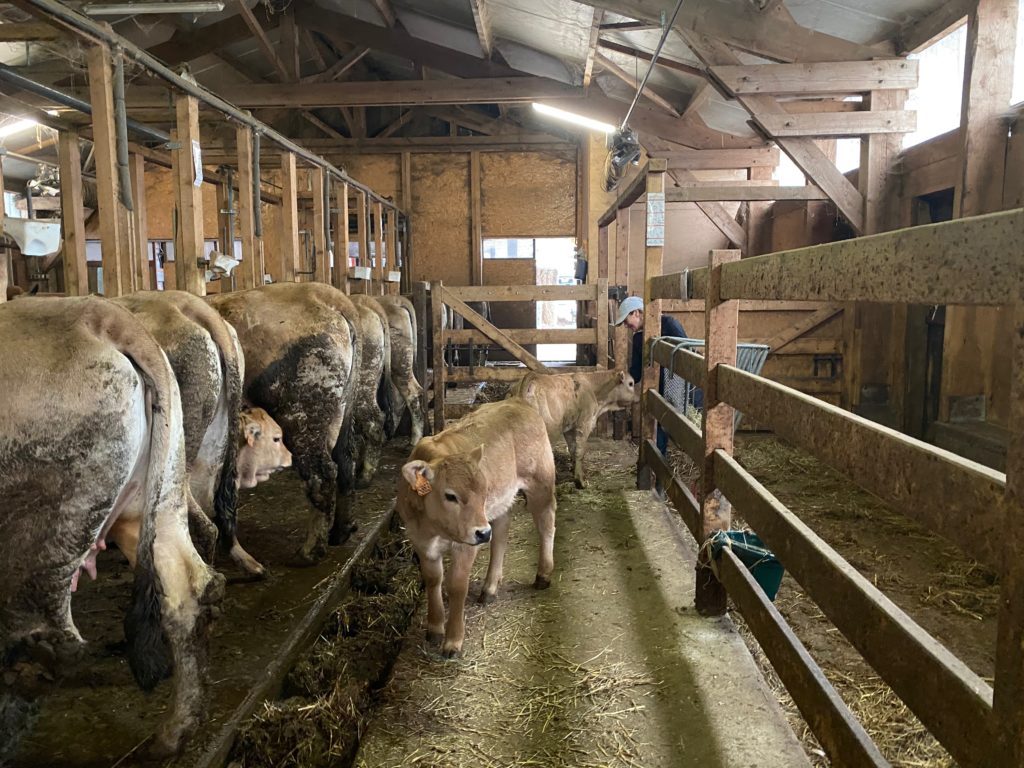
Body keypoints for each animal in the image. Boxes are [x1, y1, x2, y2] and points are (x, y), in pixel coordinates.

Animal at [0, 296, 224, 757]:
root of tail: (100, 315)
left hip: (38, 544)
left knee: (37, 648)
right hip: (156, 502)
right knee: (190, 587)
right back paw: (175, 731)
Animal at [207, 283, 361, 563]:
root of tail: (326, 295)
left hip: (301, 413)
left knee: (322, 475)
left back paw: (310, 552)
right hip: (342, 410)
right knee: (346, 461)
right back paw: (340, 532)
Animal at [397, 400, 557, 658]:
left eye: (483, 492)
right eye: (450, 495)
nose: (483, 533)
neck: (434, 528)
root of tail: (517, 402)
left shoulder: (465, 545)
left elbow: (456, 586)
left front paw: (453, 640)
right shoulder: (419, 540)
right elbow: (433, 580)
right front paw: (434, 627)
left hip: (540, 482)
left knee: (546, 524)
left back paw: (543, 574)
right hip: (502, 503)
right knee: (501, 533)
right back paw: (490, 587)